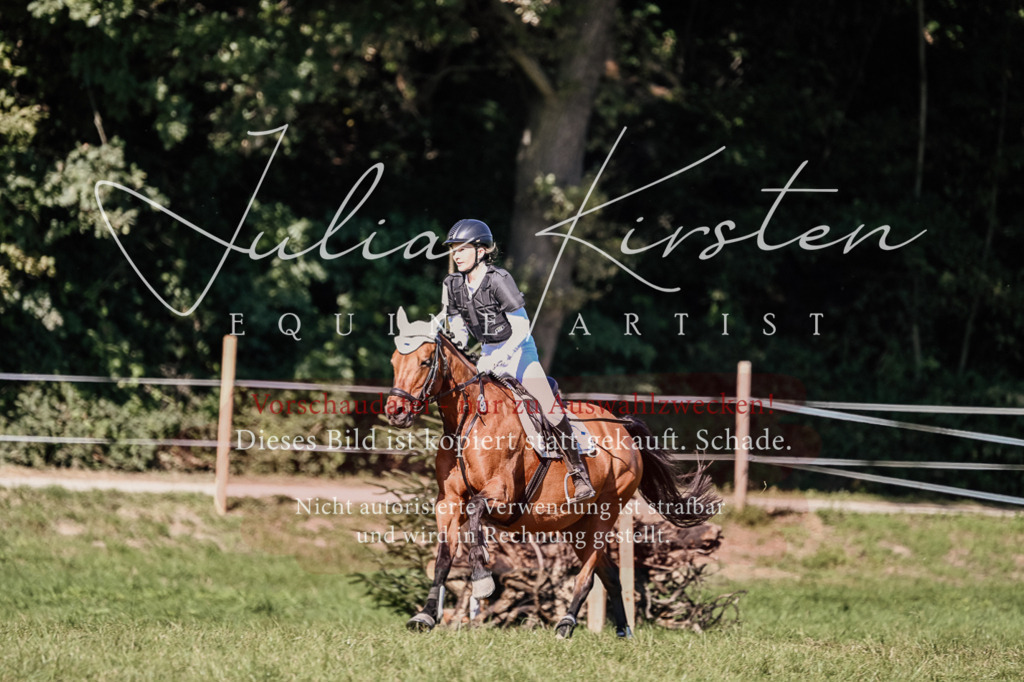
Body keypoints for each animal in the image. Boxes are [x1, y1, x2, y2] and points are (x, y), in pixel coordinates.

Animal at [385, 308, 720, 638]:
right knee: (609, 573)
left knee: (587, 575)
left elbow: (476, 514)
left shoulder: (502, 495)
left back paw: (567, 623)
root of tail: (623, 429)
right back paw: (623, 630)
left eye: (425, 361)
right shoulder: (449, 502)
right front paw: (426, 615)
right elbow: (443, 558)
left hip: (605, 512)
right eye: (394, 361)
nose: (395, 411)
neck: (469, 421)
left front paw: (481, 580)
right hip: (575, 525)